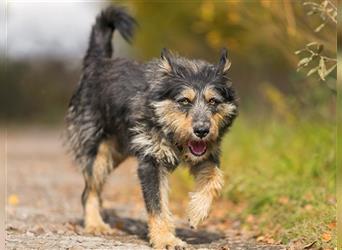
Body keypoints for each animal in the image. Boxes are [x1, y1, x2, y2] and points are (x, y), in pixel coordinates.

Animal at [65, 5, 239, 250]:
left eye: (213, 101)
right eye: (184, 101)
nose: (202, 131)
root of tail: (97, 64)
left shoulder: (206, 156)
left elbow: (214, 178)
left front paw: (197, 213)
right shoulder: (151, 162)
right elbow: (157, 206)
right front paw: (165, 239)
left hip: (117, 153)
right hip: (97, 152)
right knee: (88, 190)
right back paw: (95, 224)